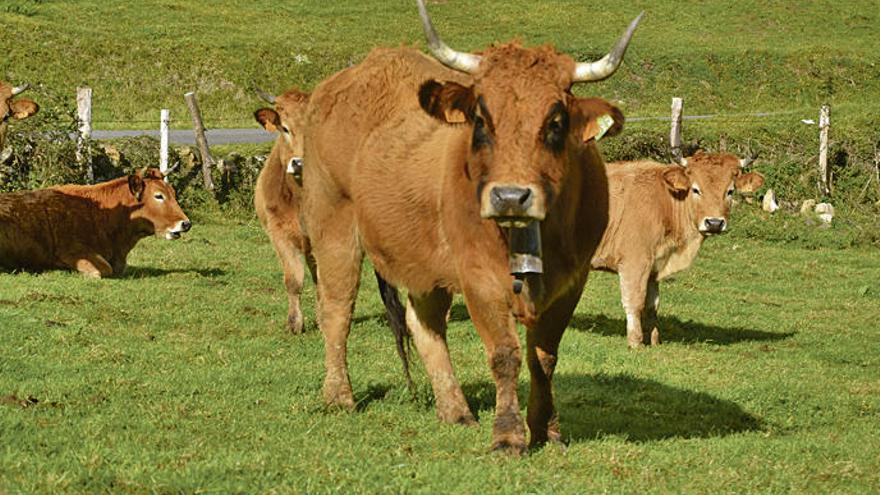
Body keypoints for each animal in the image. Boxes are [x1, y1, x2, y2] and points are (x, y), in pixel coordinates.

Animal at [300, 0, 640, 454]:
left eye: (555, 121)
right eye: (481, 119)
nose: (511, 196)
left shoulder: (573, 279)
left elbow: (544, 356)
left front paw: (547, 430)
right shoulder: (478, 277)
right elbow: (505, 354)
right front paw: (509, 435)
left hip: (420, 257)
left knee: (423, 322)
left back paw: (455, 409)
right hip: (332, 224)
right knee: (336, 308)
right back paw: (339, 395)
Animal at [592, 151, 764, 348]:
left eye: (730, 191)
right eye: (695, 189)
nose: (714, 223)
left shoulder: (654, 268)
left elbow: (652, 306)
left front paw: (654, 340)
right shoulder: (634, 262)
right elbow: (635, 302)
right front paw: (636, 342)